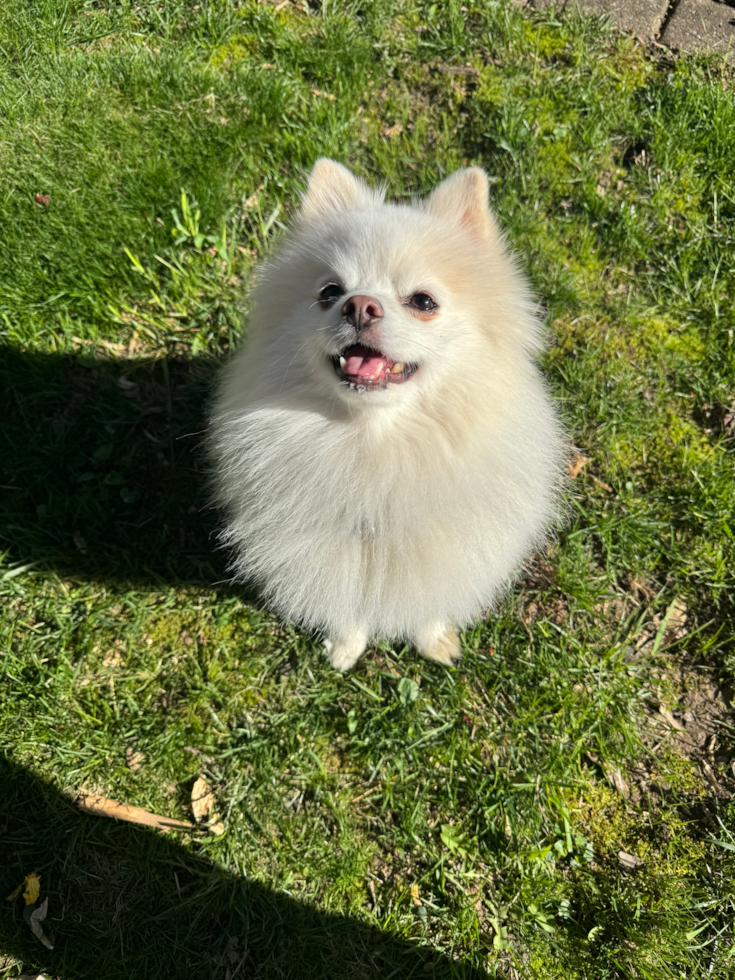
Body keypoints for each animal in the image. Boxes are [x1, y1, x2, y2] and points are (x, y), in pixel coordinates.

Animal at [210, 159, 568, 672]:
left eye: (423, 301)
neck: (374, 451)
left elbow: (426, 601)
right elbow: (346, 606)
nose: (359, 305)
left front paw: (434, 640)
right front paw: (344, 648)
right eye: (329, 292)